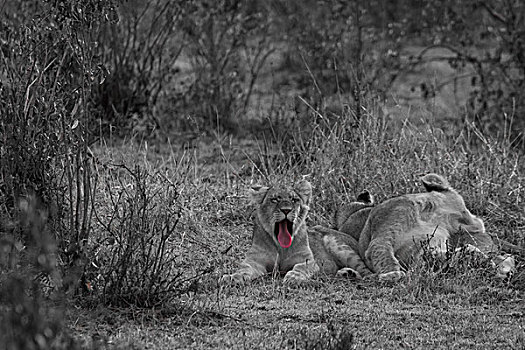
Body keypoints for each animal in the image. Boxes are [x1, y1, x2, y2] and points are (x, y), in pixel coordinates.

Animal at [219, 180, 374, 284]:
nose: (286, 210)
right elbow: (244, 269)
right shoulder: (254, 261)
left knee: (366, 271)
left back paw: (354, 274)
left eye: (294, 200)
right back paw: (345, 273)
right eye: (274, 199)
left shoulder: (309, 261)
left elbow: (301, 267)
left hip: (338, 245)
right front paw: (232, 277)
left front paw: (293, 277)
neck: (280, 247)